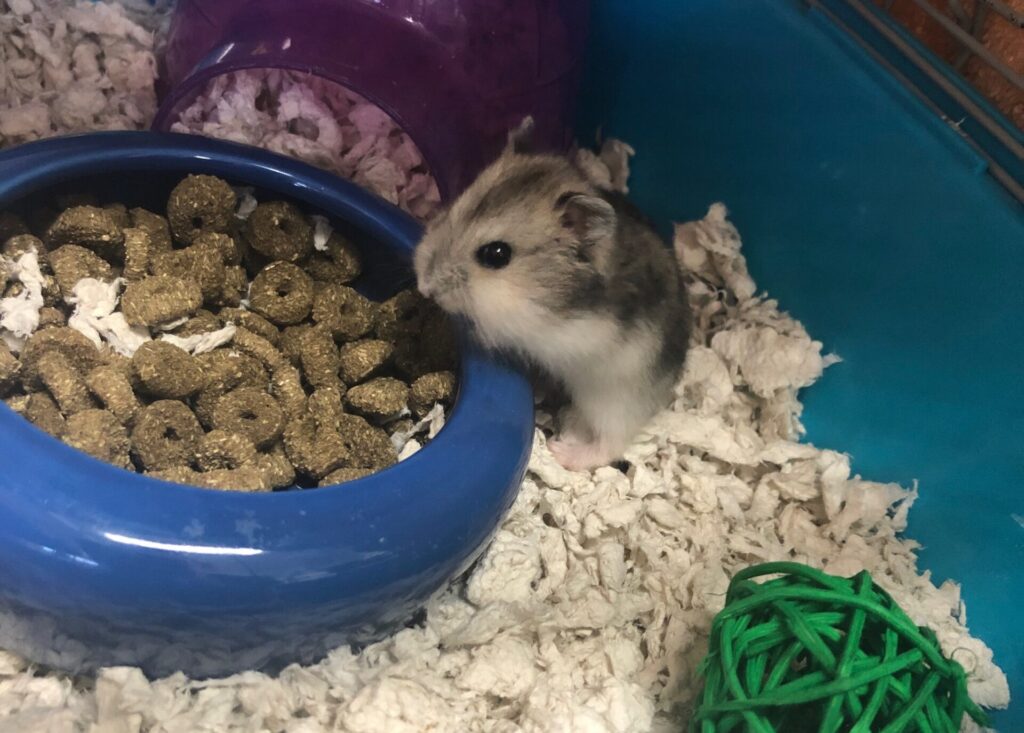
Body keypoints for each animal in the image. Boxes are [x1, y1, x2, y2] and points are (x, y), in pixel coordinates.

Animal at [414, 118, 691, 470]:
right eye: (455, 208)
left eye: (496, 254)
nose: (423, 285)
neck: (538, 290)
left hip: (614, 399)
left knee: (611, 444)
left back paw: (562, 451)